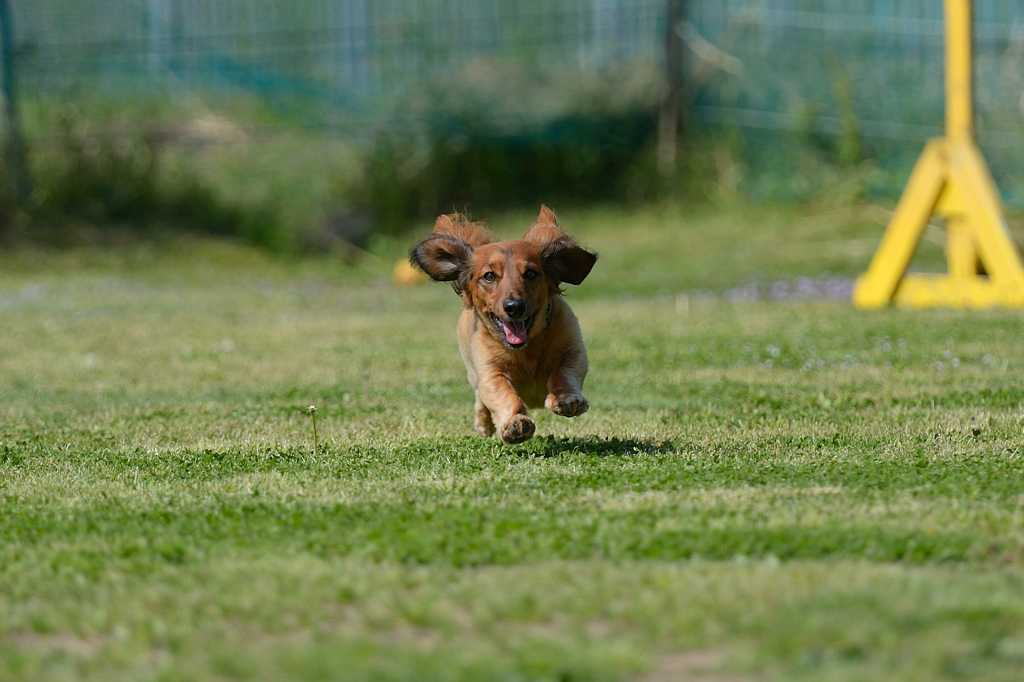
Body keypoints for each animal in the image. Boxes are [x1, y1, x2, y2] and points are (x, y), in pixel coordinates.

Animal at [409, 204, 598, 444]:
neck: (527, 349)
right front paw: (515, 423)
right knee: (480, 396)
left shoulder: (573, 349)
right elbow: (502, 394)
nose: (514, 307)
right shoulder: (489, 371)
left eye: (531, 273)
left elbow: (564, 372)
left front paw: (567, 399)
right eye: (489, 276)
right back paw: (484, 422)